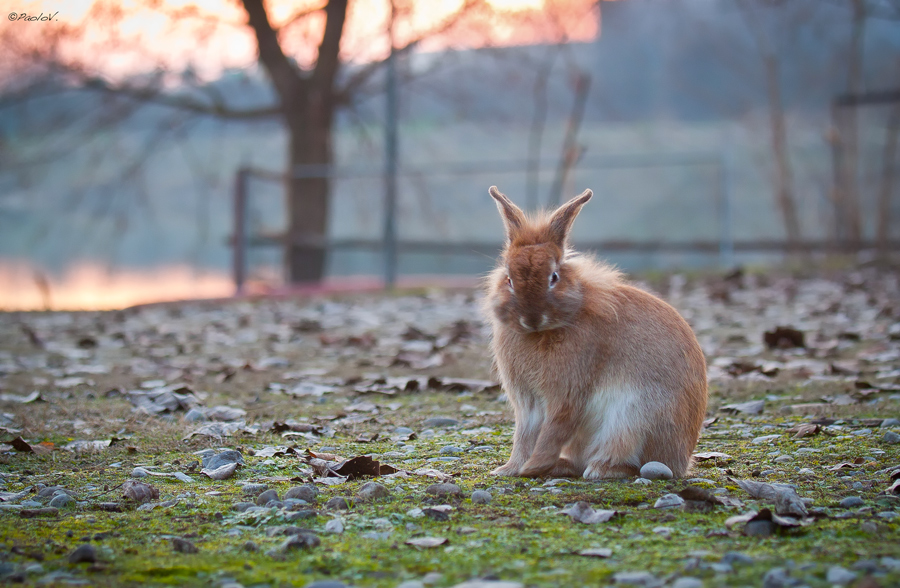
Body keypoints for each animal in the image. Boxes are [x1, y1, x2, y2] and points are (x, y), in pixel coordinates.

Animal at [483, 186, 707, 479]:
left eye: (553, 277)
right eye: (508, 279)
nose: (531, 318)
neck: (544, 331)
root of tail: (681, 461)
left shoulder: (568, 392)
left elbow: (553, 430)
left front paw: (531, 468)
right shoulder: (528, 405)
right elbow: (524, 435)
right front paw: (509, 469)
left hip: (631, 420)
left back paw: (601, 469)